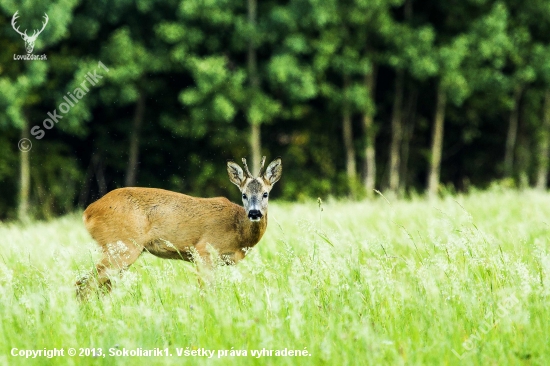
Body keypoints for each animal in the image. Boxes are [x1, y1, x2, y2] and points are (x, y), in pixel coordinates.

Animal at [75, 156, 282, 298]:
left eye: (265, 194)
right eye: (244, 195)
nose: (254, 213)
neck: (238, 231)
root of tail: (89, 211)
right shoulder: (204, 250)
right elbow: (207, 291)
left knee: (100, 286)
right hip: (122, 245)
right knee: (84, 284)